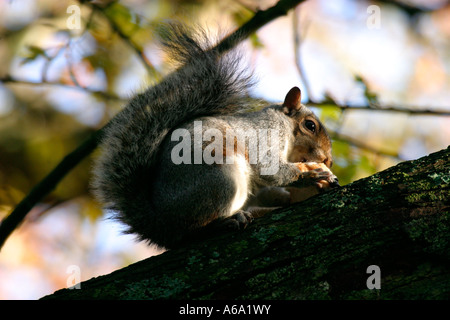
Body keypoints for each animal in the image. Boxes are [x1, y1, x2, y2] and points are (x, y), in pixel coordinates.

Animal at [91, 24, 338, 250]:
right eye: (310, 126)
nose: (327, 160)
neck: (286, 130)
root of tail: (162, 224)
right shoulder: (266, 135)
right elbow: (272, 169)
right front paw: (311, 173)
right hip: (220, 179)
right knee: (195, 230)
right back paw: (228, 221)